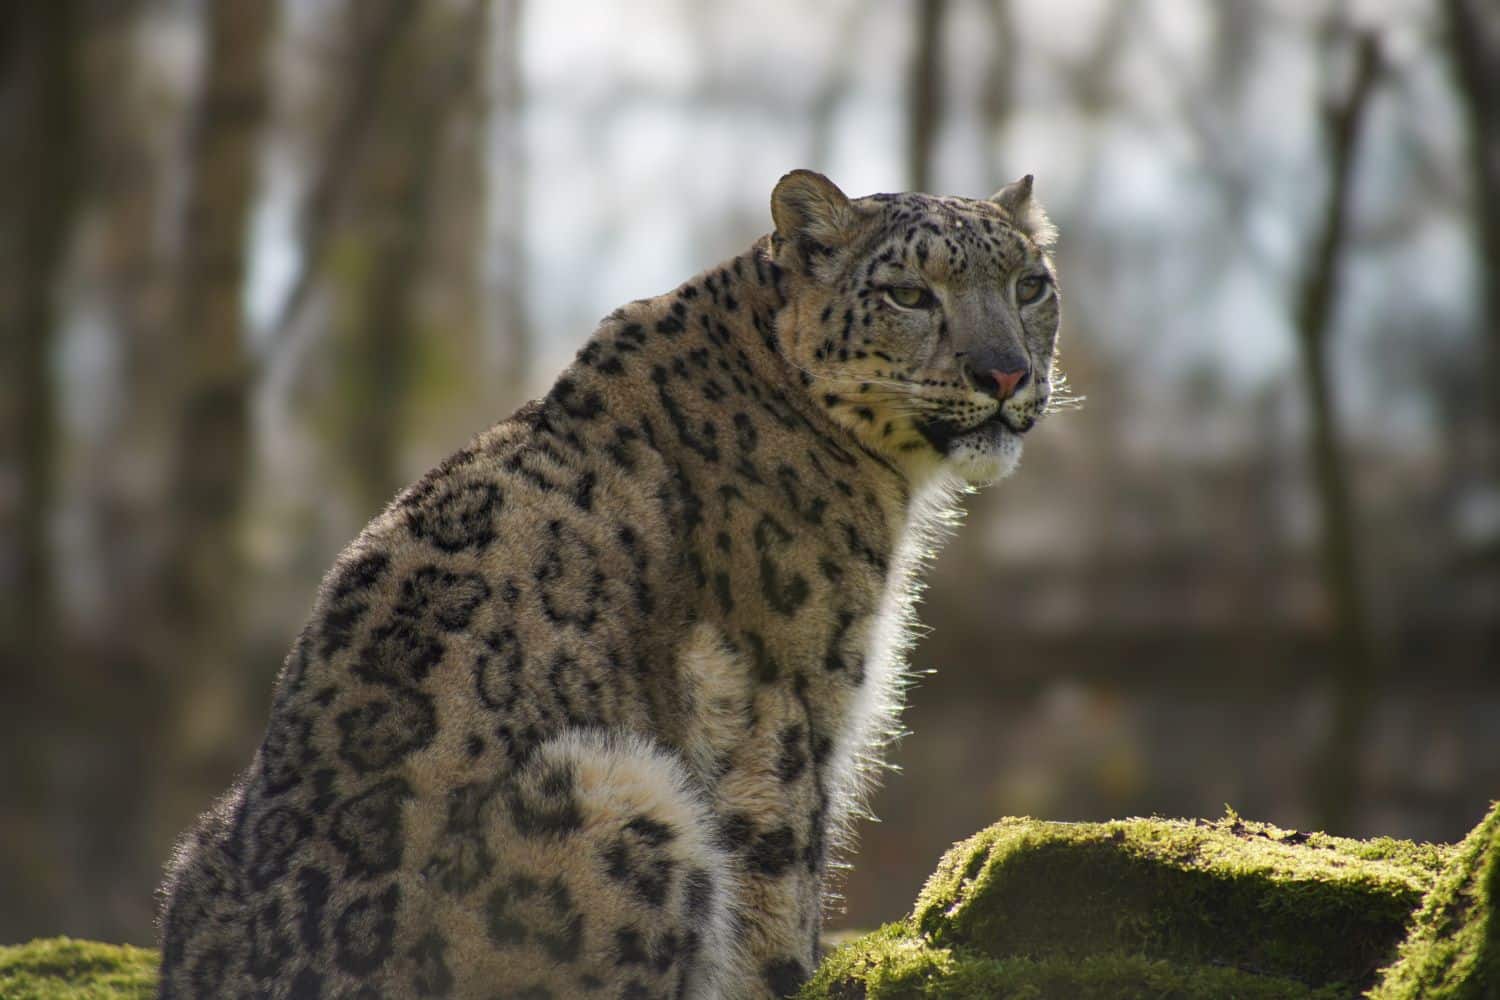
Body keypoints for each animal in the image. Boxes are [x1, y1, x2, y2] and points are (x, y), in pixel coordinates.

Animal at [156, 169, 1061, 1000]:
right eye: (909, 292)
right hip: (617, 794)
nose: (1006, 374)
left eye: (1030, 284)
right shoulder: (785, 705)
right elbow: (781, 881)